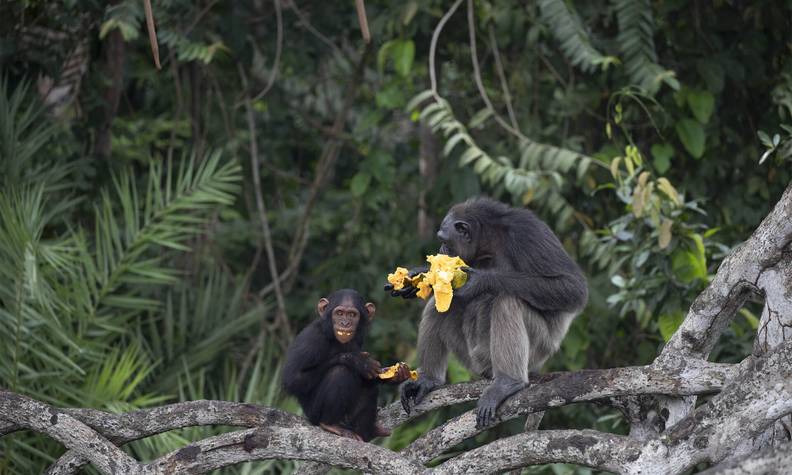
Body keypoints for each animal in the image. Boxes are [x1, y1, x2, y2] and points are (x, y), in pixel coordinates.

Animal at [284, 290, 408, 442]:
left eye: (352, 315)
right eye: (339, 313)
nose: (345, 323)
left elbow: (372, 375)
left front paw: (397, 375)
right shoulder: (310, 340)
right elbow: (293, 379)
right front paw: (356, 361)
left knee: (368, 387)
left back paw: (367, 431)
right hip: (313, 413)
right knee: (340, 371)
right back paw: (330, 424)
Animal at [392, 197, 588, 428]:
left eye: (445, 240)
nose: (441, 248)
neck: (488, 240)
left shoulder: (529, 232)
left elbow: (571, 286)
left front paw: (480, 281)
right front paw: (419, 275)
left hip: (537, 351)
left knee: (507, 302)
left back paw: (508, 382)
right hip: (473, 359)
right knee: (440, 304)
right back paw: (428, 379)